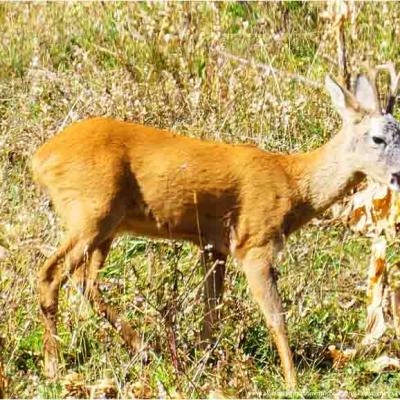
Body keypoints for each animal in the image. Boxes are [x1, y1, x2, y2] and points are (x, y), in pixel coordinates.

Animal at [33, 66, 400, 388]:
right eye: (377, 138)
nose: (397, 175)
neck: (293, 183)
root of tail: (41, 158)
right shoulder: (254, 242)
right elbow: (275, 316)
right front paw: (293, 381)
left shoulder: (214, 245)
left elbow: (212, 311)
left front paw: (206, 364)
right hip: (90, 212)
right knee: (51, 274)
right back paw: (53, 367)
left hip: (107, 224)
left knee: (85, 280)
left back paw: (144, 350)